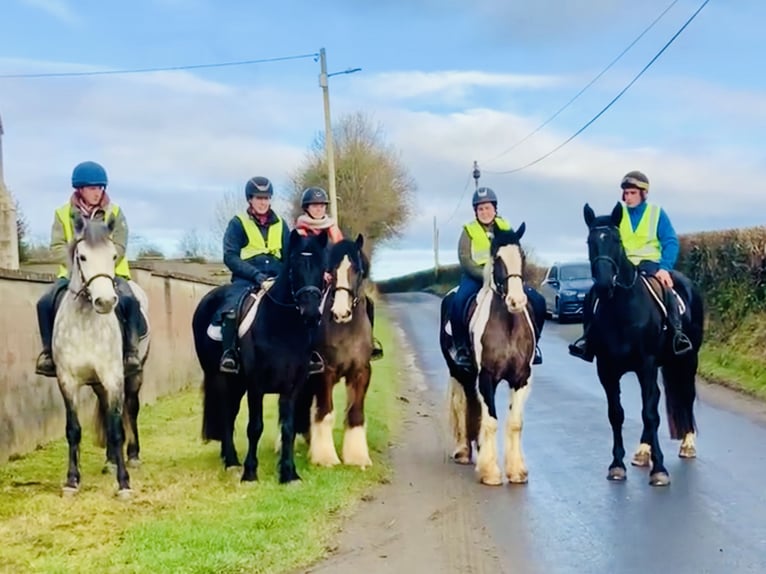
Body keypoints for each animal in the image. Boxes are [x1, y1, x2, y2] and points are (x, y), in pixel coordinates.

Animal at [51, 216, 152, 500]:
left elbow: (117, 430)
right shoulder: (67, 381)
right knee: (107, 412)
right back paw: (110, 460)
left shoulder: (113, 378)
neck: (85, 323)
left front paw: (124, 484)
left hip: (133, 375)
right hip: (97, 384)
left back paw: (132, 456)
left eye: (113, 256)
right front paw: (72, 481)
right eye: (82, 257)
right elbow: (73, 430)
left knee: (131, 409)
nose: (105, 301)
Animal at [194, 232, 328, 484]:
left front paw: (289, 473)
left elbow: (288, 428)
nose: (311, 314)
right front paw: (250, 473)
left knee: (230, 413)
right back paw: (232, 461)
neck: (282, 327)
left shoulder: (292, 386)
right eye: (294, 267)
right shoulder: (256, 385)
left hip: (237, 383)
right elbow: (254, 427)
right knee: (226, 415)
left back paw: (228, 458)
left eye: (322, 267)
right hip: (221, 378)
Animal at [294, 236, 376, 470]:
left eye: (356, 269)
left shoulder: (360, 372)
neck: (345, 329)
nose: (340, 313)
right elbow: (325, 411)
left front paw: (357, 457)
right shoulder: (326, 372)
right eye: (330, 271)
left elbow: (355, 413)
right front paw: (325, 457)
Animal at [440, 224, 536, 486]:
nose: (516, 300)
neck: (508, 325)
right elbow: (491, 421)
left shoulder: (521, 378)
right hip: (459, 371)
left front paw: (517, 471)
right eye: (498, 258)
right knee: (463, 404)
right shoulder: (487, 377)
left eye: (522, 256)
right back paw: (464, 451)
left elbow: (515, 423)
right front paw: (490, 472)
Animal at [584, 205, 704, 488]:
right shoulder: (606, 370)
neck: (622, 309)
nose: (604, 284)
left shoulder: (646, 365)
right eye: (590, 242)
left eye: (616, 240)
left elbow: (650, 414)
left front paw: (659, 470)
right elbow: (616, 414)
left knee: (686, 395)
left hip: (687, 360)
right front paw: (617, 464)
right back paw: (642, 451)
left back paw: (687, 444)